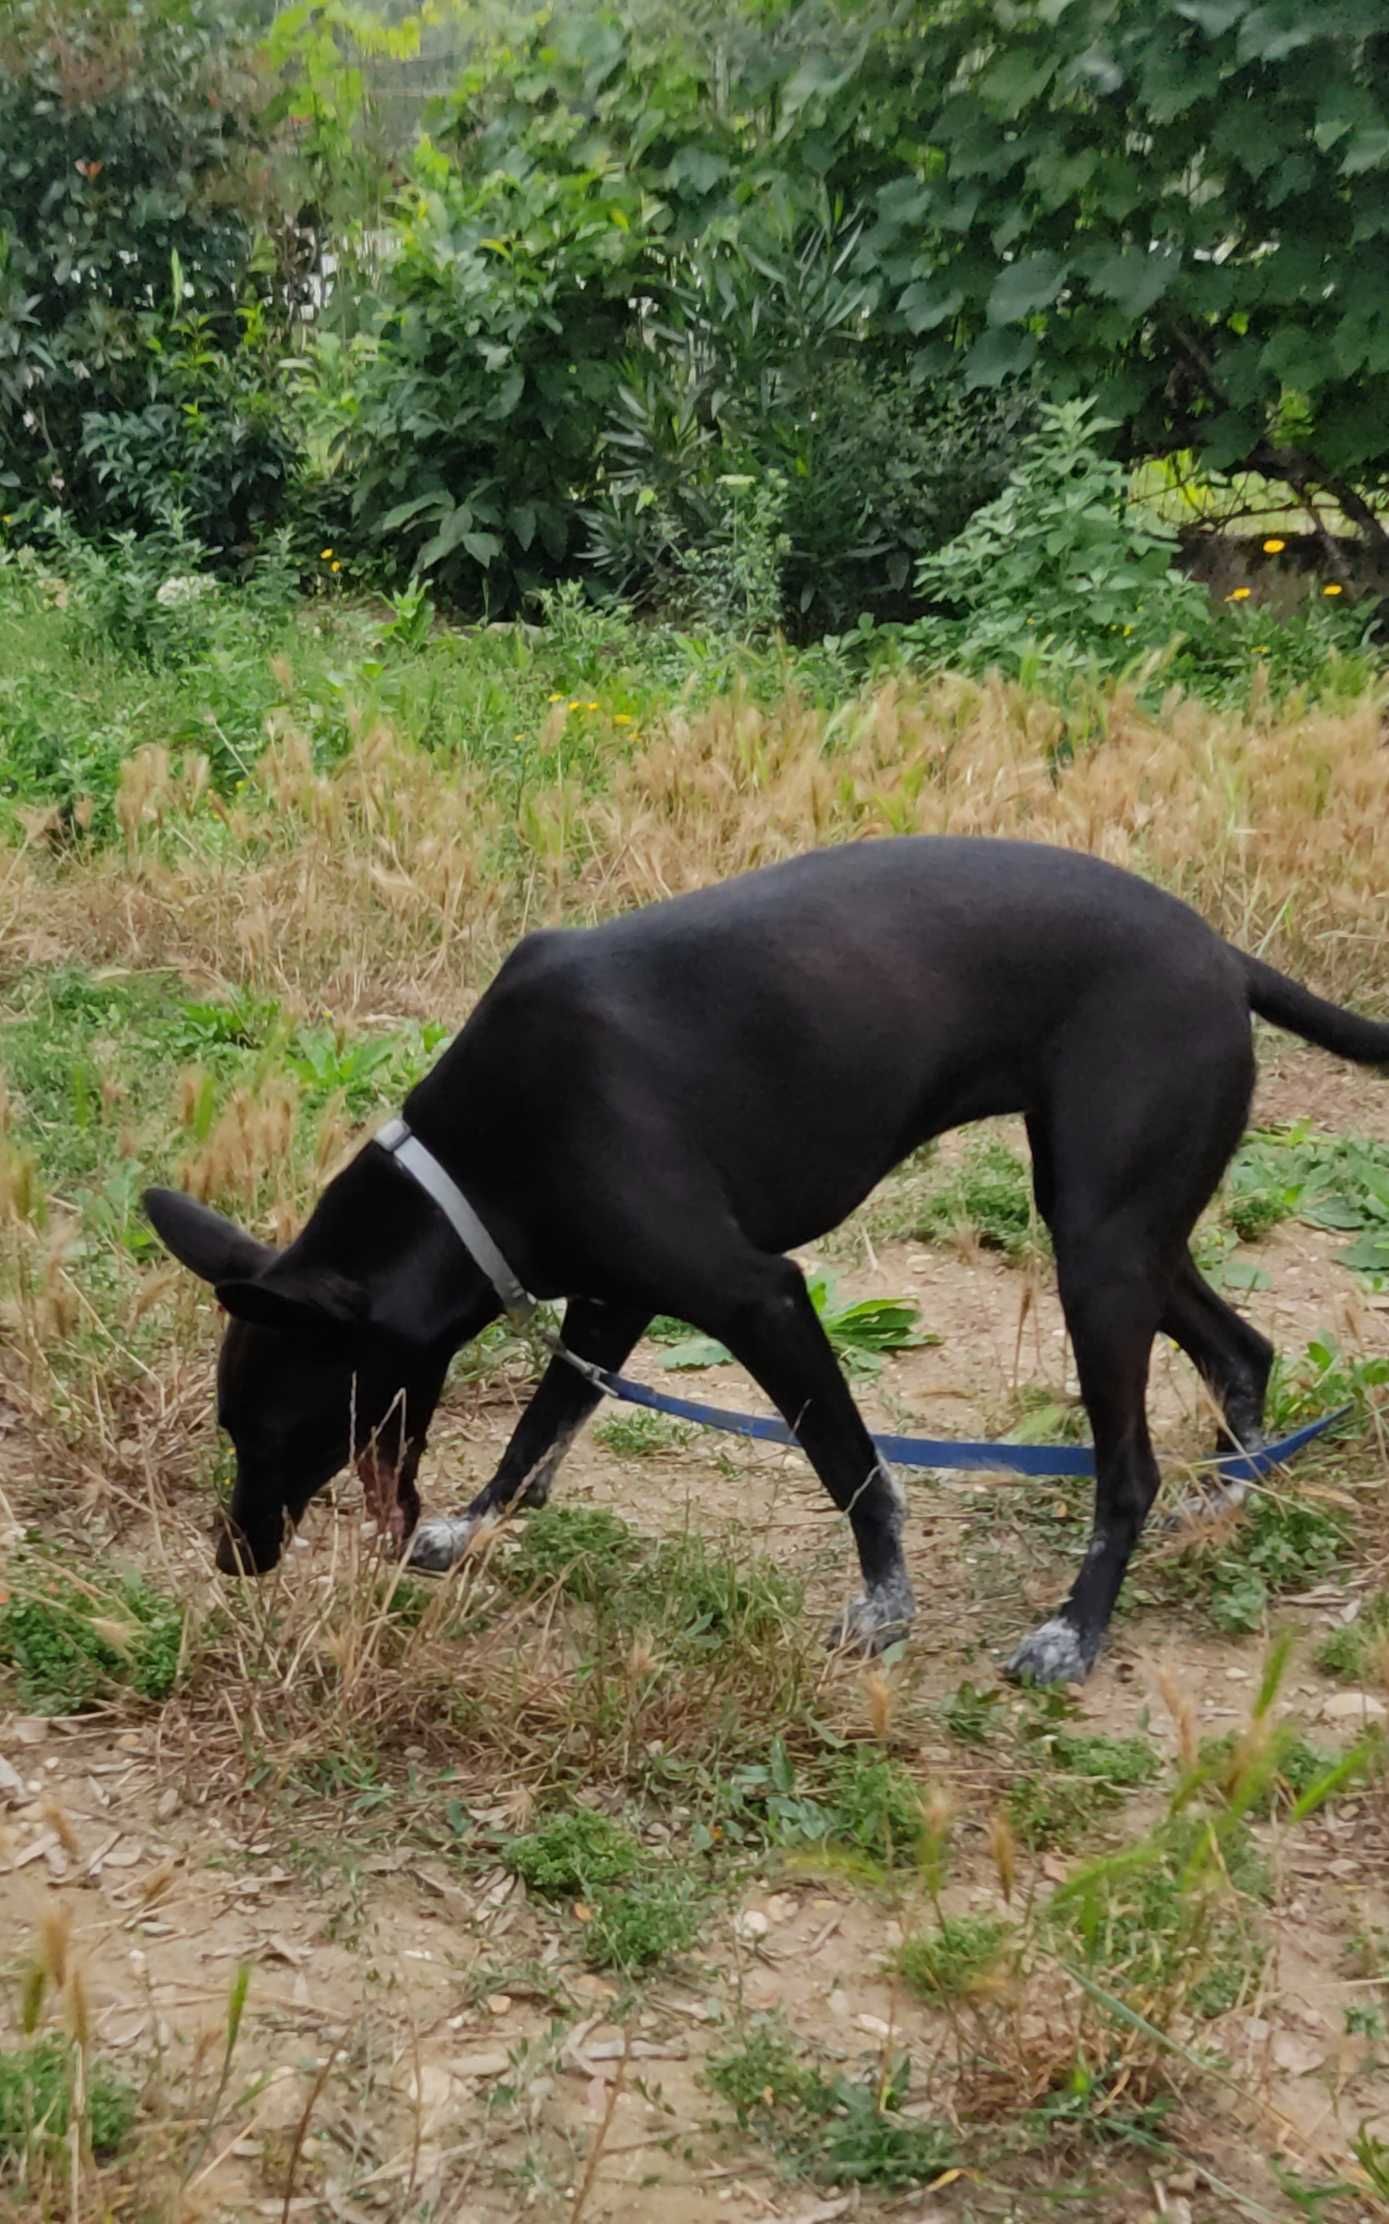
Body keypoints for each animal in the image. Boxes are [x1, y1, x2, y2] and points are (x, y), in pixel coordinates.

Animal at [143, 836, 1386, 1681]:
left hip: (1100, 1252)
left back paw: (1076, 1628)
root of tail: (1223, 956)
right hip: (1120, 1228)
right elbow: (540, 1428)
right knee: (1244, 1350)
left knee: (1130, 1467)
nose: (230, 1555)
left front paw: (887, 1604)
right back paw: (1229, 1498)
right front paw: (476, 1520)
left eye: (278, 1432)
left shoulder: (758, 1298)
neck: (472, 1171)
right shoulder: (609, 1302)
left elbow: (855, 1468)